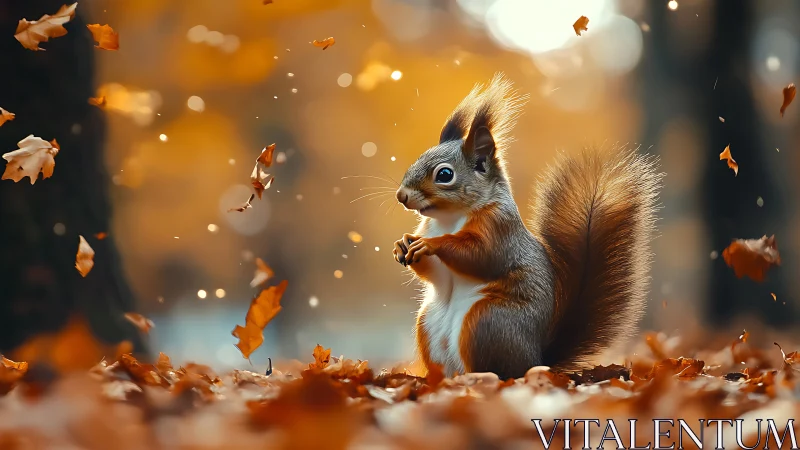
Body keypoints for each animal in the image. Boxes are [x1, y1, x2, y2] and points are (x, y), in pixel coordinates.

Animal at [392, 73, 662, 380]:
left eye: (445, 174)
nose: (401, 195)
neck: (448, 217)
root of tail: (536, 359)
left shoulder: (499, 228)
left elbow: (481, 256)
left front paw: (430, 245)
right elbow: (434, 273)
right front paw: (402, 245)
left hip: (488, 321)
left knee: (498, 370)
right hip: (428, 324)